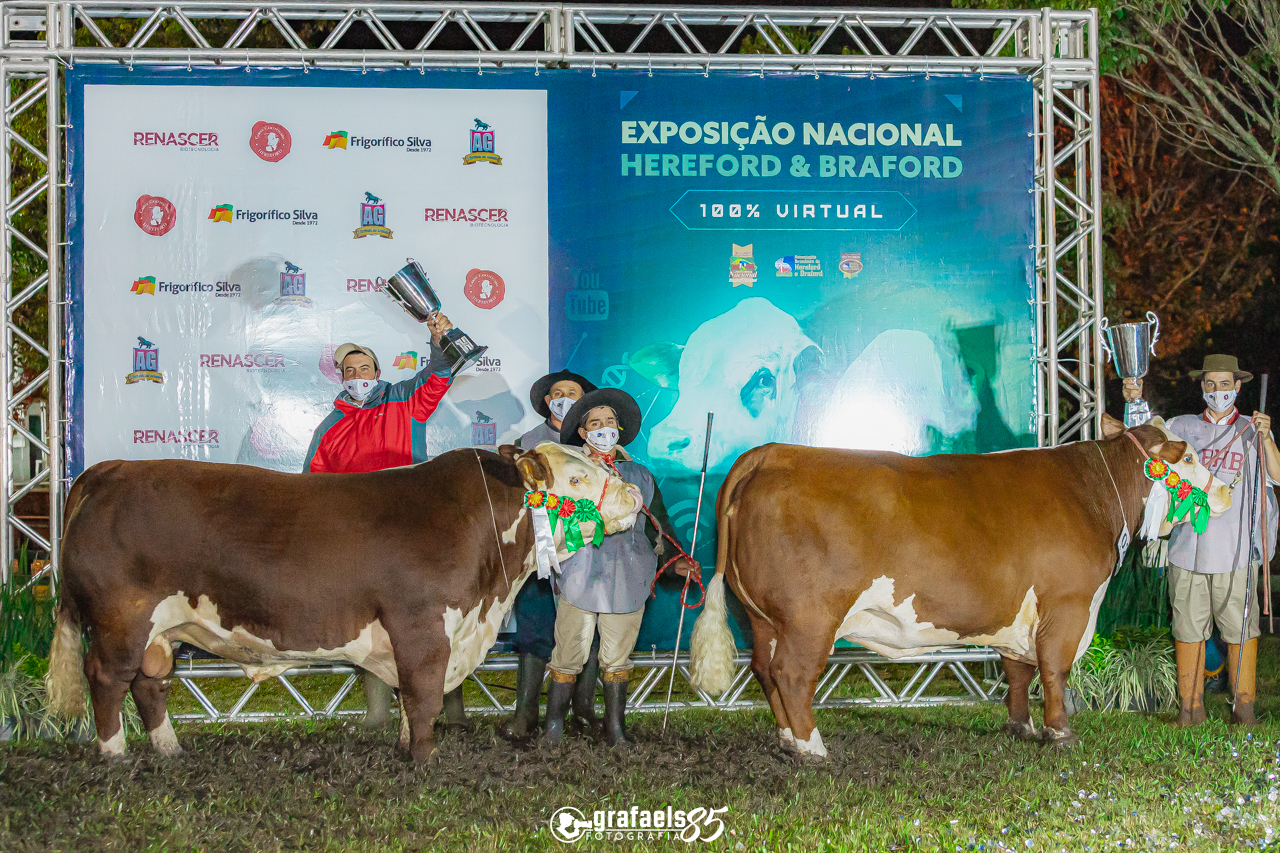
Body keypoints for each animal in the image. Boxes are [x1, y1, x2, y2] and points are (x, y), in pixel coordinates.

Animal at [696, 414, 1233, 753]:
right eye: (1188, 458)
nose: (1228, 491)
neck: (1095, 494)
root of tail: (771, 454)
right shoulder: (1068, 603)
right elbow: (1054, 670)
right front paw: (1060, 734)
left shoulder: (1021, 613)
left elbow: (1018, 670)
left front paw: (1021, 727)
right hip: (809, 616)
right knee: (791, 674)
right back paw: (812, 748)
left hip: (762, 616)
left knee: (764, 671)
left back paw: (787, 740)